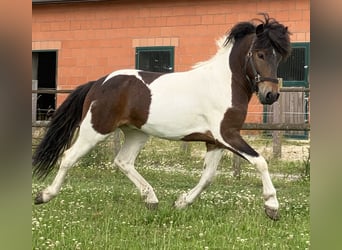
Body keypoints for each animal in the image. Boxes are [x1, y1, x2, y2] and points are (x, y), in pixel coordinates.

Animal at [33, 14, 292, 221]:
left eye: (279, 57)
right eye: (260, 54)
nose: (270, 95)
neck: (223, 83)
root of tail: (98, 83)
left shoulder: (216, 141)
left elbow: (208, 176)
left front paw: (181, 202)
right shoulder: (227, 135)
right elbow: (260, 161)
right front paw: (272, 207)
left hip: (136, 133)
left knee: (123, 161)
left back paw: (152, 199)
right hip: (95, 129)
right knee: (69, 157)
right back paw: (44, 195)